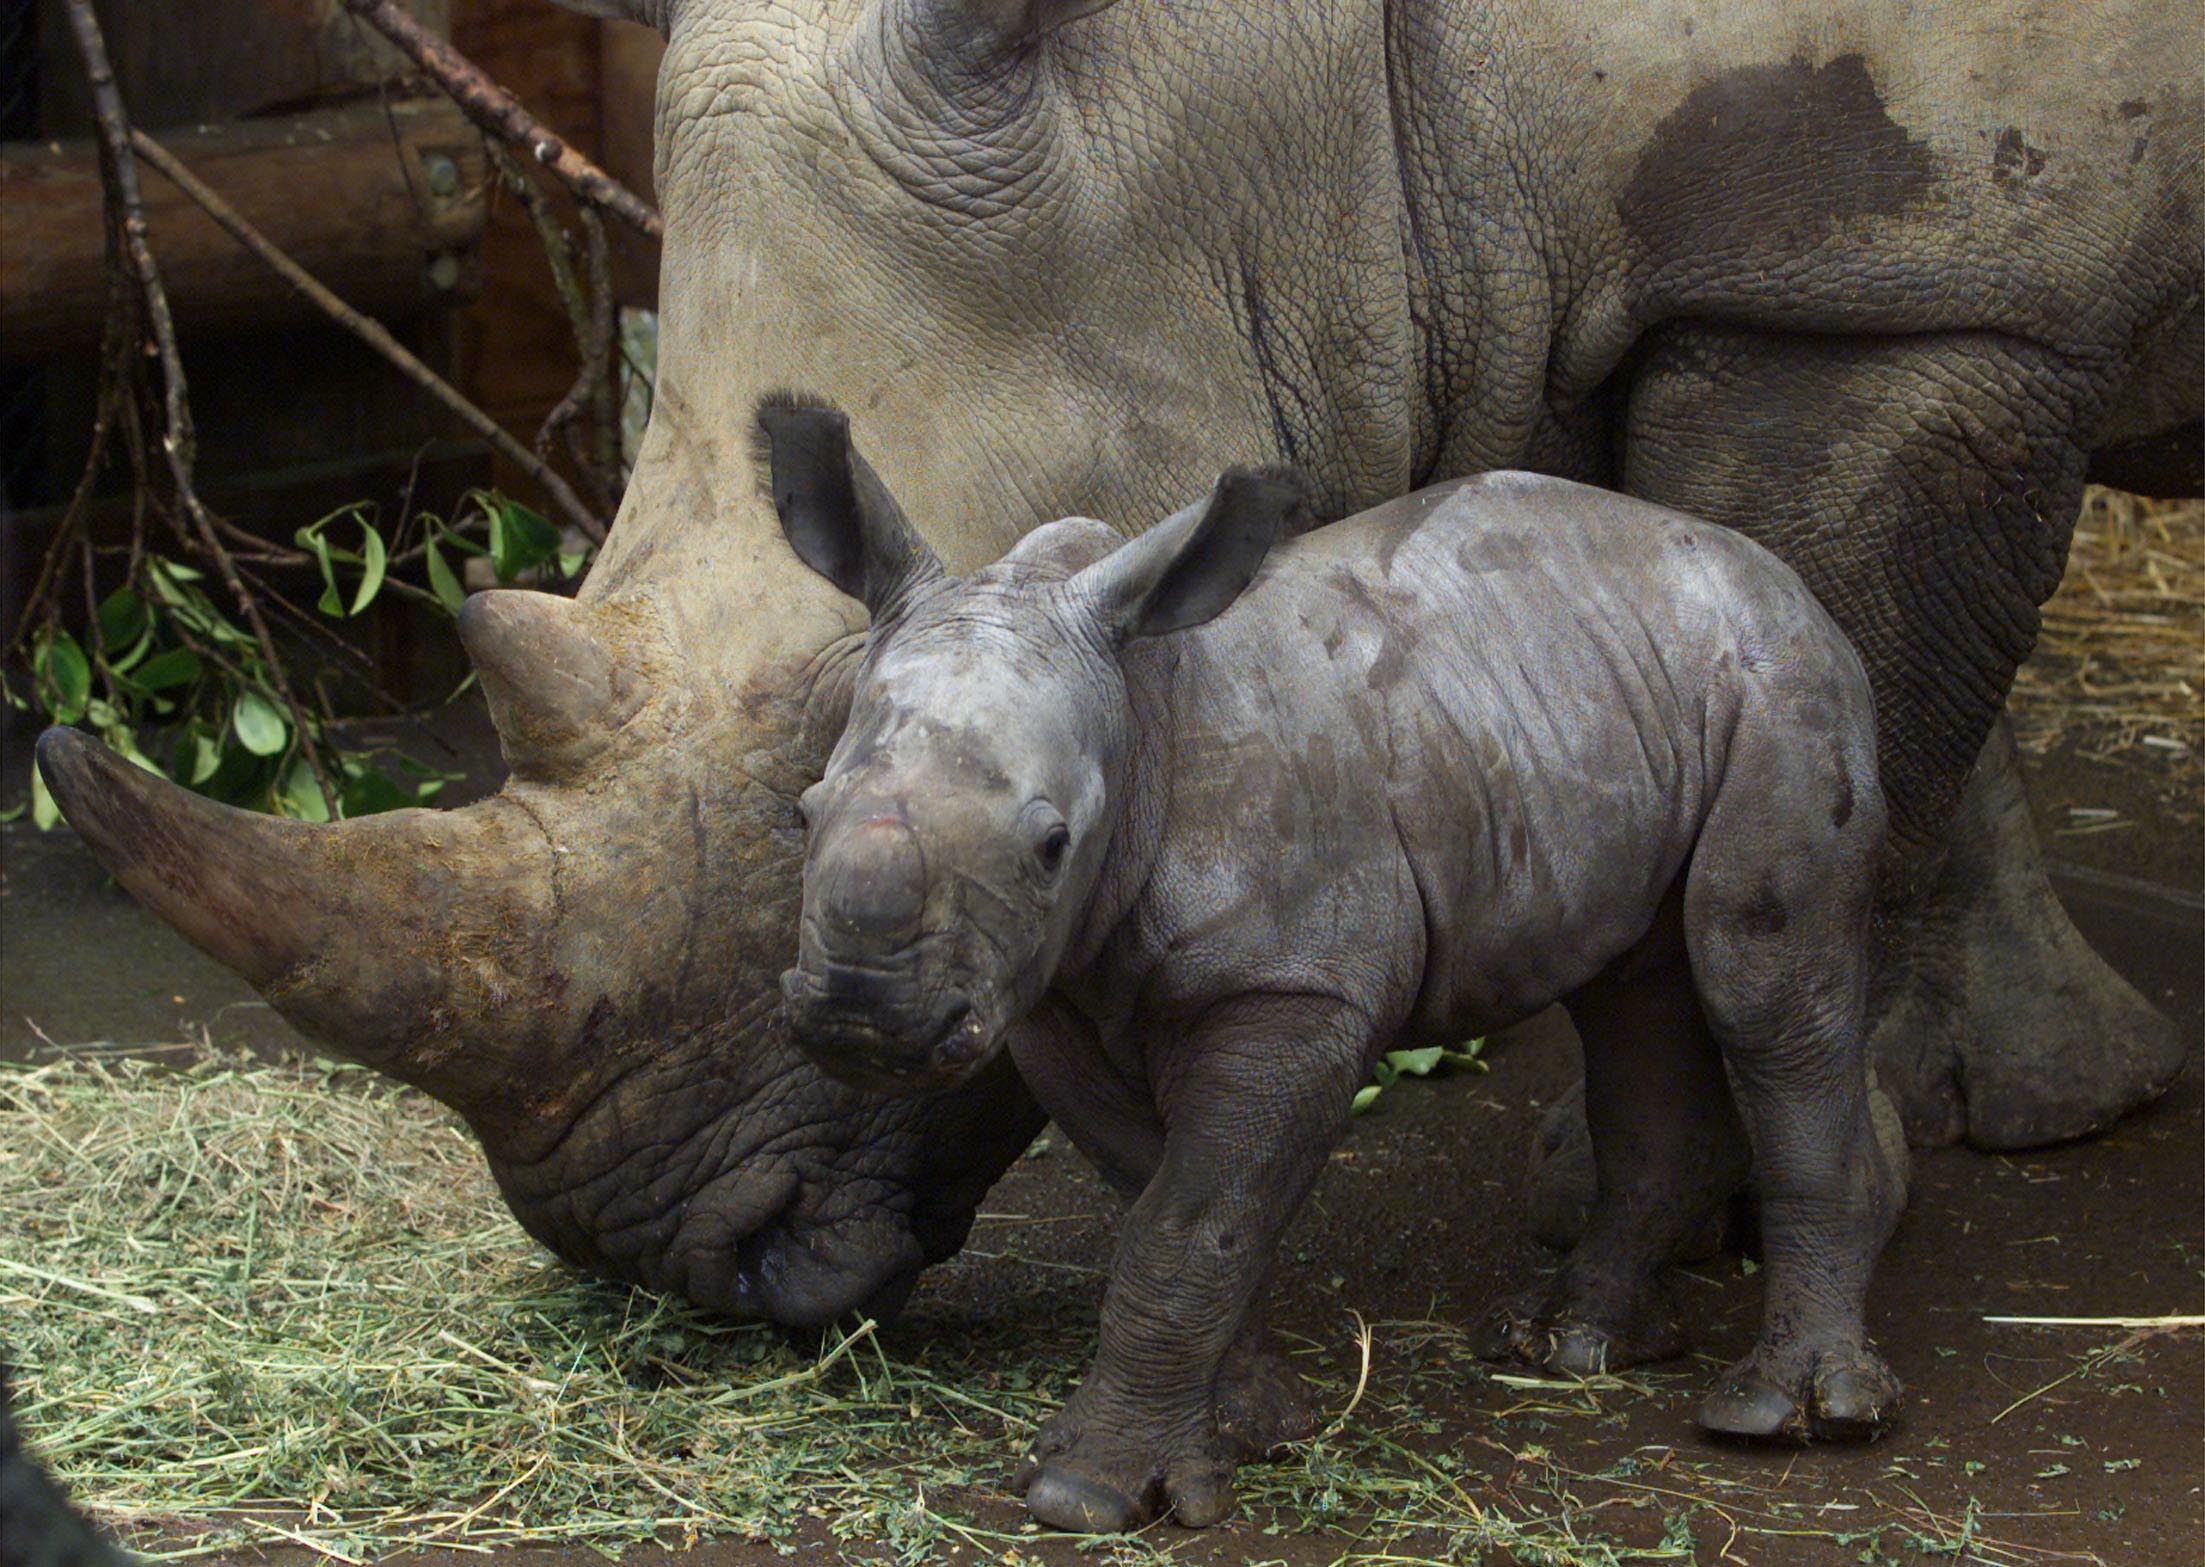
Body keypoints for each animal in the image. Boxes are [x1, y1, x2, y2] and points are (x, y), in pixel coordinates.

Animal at [38, 0, 2205, 1331]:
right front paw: (2036, 1101)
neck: (1288, 91)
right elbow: (1810, 681)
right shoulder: (1801, 271)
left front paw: (1691, 1208)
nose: (663, 1258)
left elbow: (1832, 676)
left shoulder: (1885, 280)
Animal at [767, 401, 1905, 1533]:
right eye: (807, 812)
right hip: (1609, 696)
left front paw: (1086, 1491)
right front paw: (1254, 1426)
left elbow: (1189, 1224)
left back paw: (1784, 1413)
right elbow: (1173, 1205)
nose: (862, 1018)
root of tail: (1767, 569)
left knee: (1764, 985)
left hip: (1783, 686)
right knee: (1638, 990)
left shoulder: (1292, 987)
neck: (1140, 717)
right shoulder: (1053, 997)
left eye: (1051, 845)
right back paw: (1568, 1344)